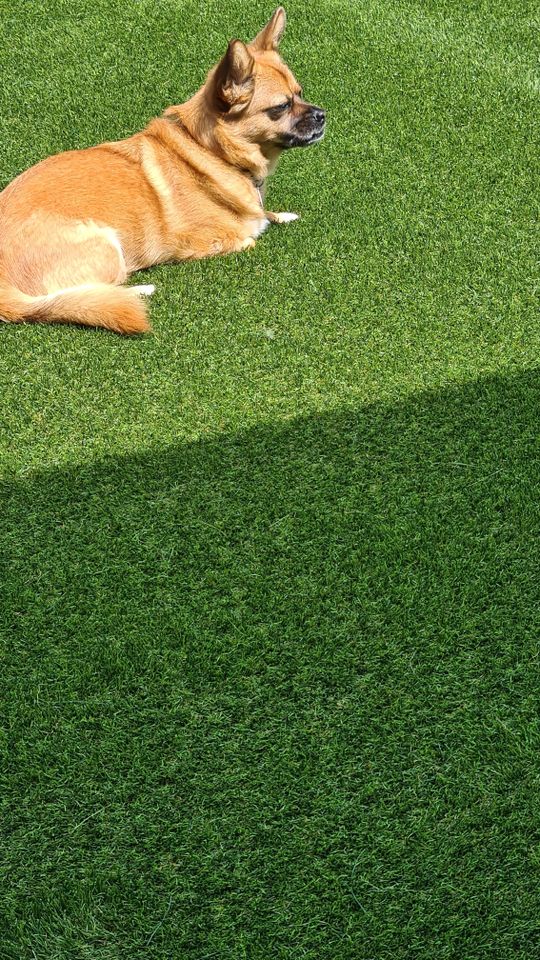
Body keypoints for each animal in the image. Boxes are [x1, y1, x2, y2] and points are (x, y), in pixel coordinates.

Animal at [0, 8, 324, 334]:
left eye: (301, 93)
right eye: (281, 107)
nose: (322, 114)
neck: (212, 152)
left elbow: (265, 214)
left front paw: (279, 215)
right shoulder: (201, 243)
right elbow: (249, 237)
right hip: (107, 245)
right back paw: (137, 290)